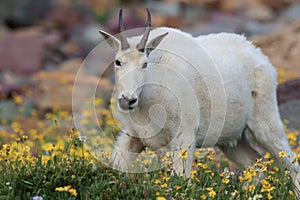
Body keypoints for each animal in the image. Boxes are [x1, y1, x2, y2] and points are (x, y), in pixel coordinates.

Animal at [99, 8, 298, 195]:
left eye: (145, 64)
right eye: (117, 62)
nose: (128, 100)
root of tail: (262, 58)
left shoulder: (184, 134)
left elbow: (180, 179)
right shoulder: (133, 136)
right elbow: (117, 164)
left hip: (265, 118)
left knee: (290, 162)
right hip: (232, 137)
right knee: (254, 164)